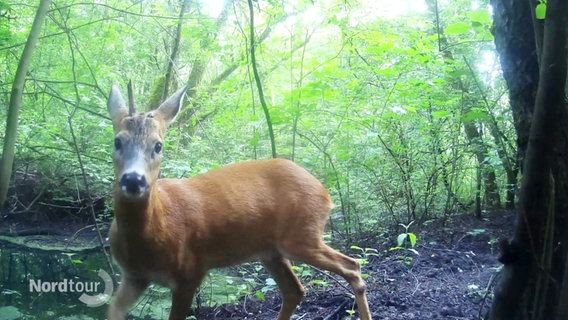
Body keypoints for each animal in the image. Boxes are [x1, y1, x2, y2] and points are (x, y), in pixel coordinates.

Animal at [106, 85, 372, 320]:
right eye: (117, 141)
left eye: (158, 145)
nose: (133, 180)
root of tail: (325, 192)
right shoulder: (133, 276)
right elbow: (112, 311)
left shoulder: (190, 271)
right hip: (271, 251)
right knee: (295, 290)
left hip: (301, 235)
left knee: (352, 266)